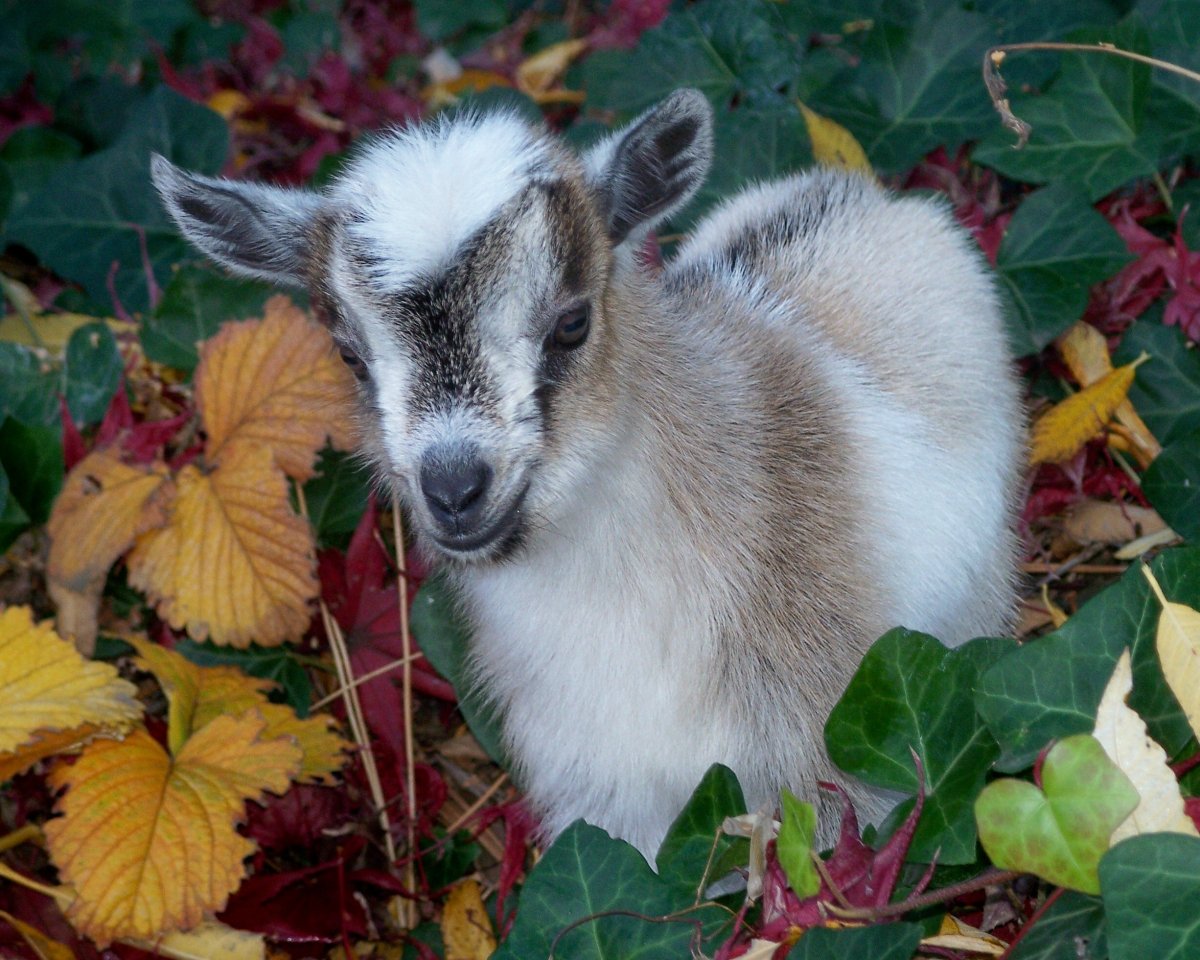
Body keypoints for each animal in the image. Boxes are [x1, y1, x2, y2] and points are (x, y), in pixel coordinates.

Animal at [152, 89, 1023, 859]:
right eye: (349, 354)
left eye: (572, 322)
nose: (455, 488)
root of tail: (863, 193)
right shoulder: (599, 801)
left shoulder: (838, 766)